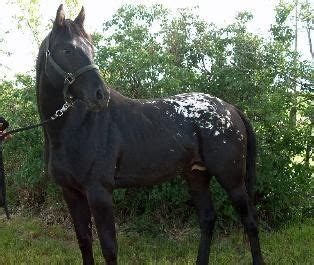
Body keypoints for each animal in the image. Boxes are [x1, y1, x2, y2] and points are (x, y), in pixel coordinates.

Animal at [35, 4, 264, 264]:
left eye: (91, 49)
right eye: (67, 50)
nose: (101, 95)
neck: (77, 126)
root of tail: (231, 109)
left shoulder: (99, 192)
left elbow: (109, 248)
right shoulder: (71, 193)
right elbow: (84, 243)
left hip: (231, 178)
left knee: (250, 222)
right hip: (196, 175)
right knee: (208, 219)